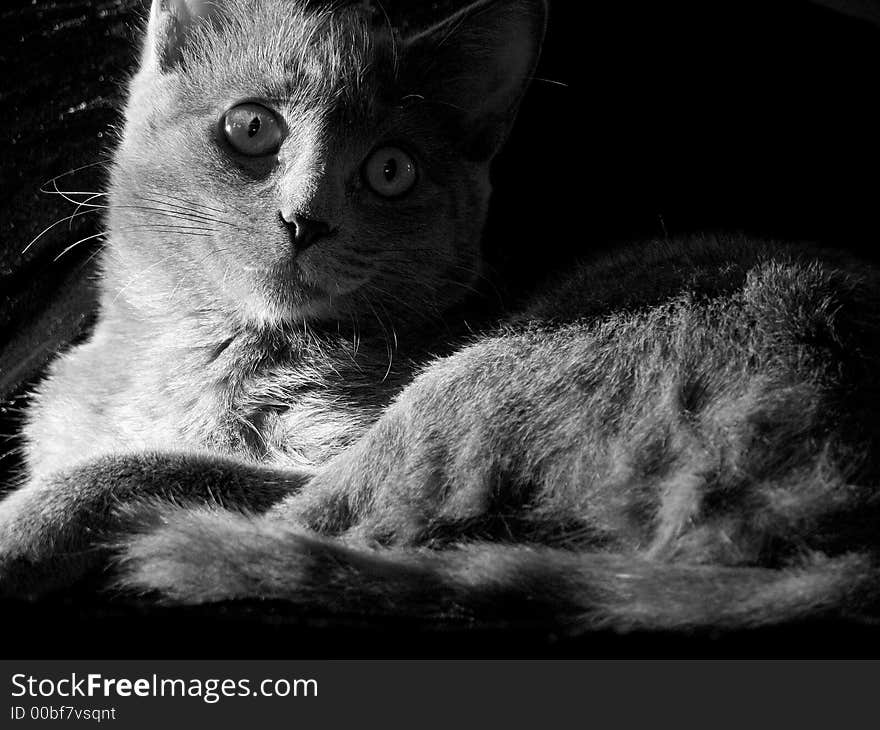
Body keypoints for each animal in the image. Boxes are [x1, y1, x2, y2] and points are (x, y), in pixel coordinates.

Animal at [1, 0, 880, 632]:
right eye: (251, 127)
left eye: (391, 170)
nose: (306, 219)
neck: (190, 351)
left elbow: (156, 466)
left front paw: (27, 522)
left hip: (497, 370)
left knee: (299, 522)